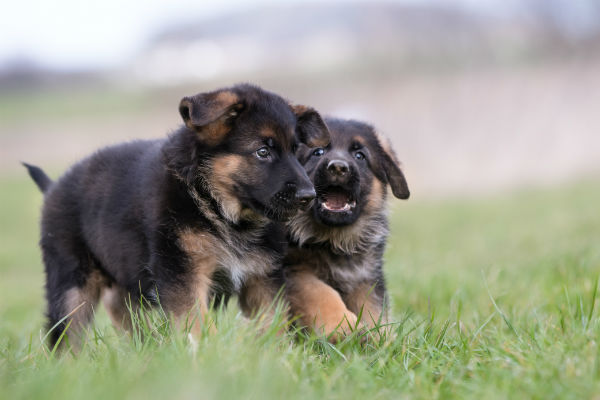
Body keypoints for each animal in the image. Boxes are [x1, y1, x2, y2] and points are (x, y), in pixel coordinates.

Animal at [23, 83, 330, 346]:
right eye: (263, 151)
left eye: (296, 150)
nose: (309, 196)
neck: (216, 206)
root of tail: (53, 186)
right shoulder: (182, 273)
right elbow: (196, 324)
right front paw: (206, 357)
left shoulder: (262, 278)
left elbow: (272, 326)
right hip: (71, 280)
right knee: (66, 334)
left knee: (122, 310)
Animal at [284, 116, 410, 340]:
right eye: (318, 152)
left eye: (360, 156)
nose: (338, 167)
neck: (333, 240)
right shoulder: (294, 270)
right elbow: (321, 293)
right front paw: (344, 328)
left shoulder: (364, 277)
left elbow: (373, 309)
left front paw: (383, 338)